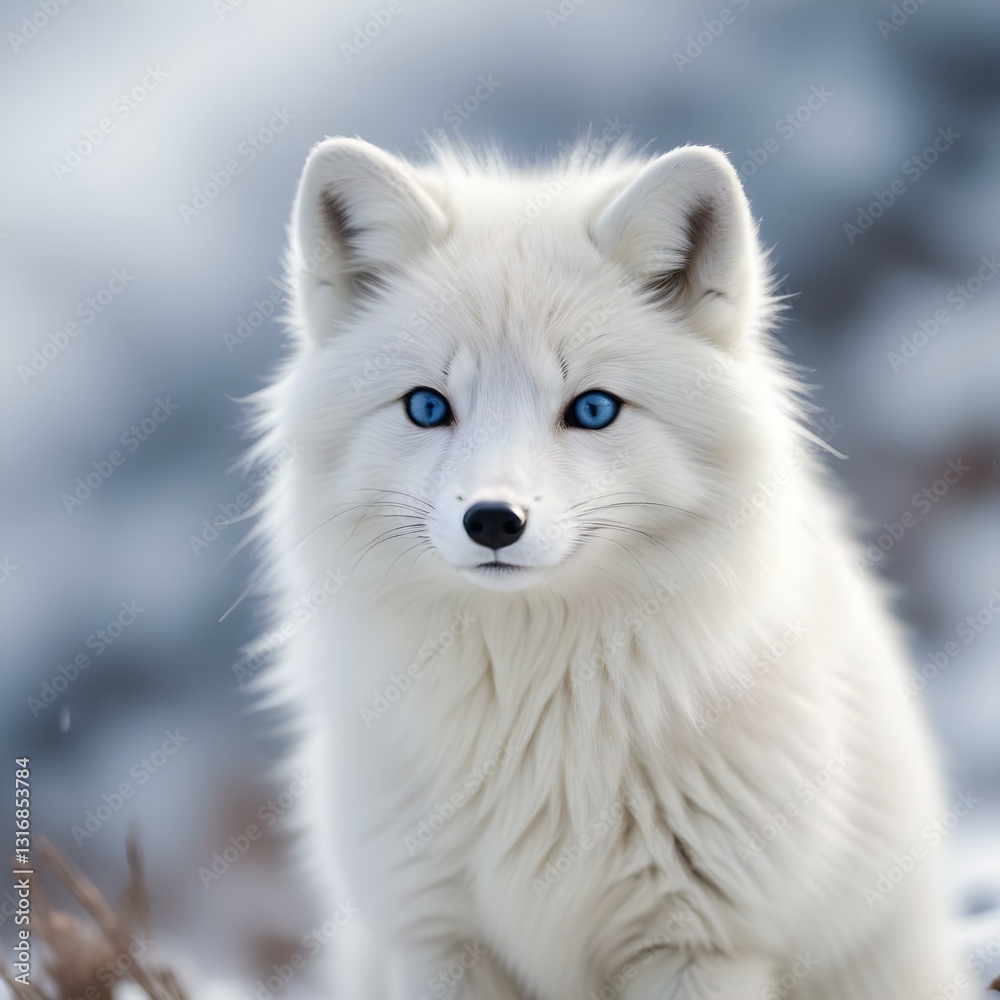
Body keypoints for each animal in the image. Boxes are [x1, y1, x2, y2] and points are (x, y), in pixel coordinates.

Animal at [244, 134, 977, 999]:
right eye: (427, 407)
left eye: (592, 409)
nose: (493, 520)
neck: (535, 716)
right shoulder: (439, 942)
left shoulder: (700, 947)